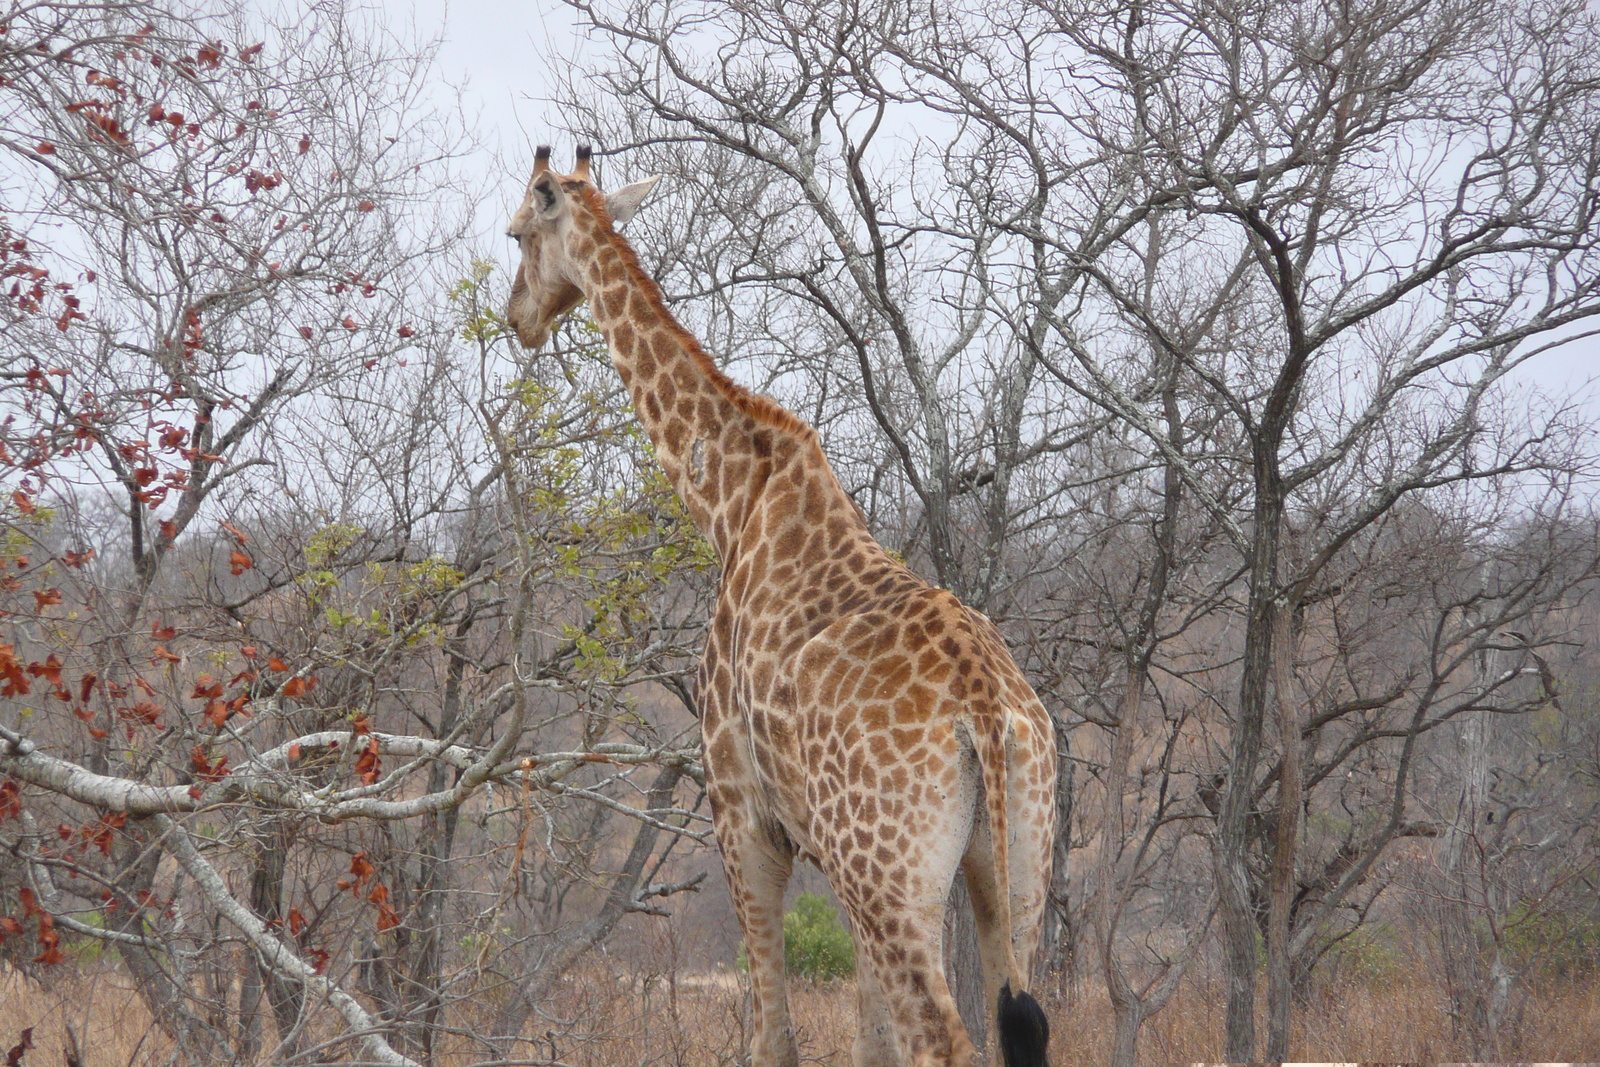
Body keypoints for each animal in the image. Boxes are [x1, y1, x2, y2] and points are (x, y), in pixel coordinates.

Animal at [512, 143, 1056, 1067]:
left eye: (517, 232)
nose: (518, 318)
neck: (727, 499)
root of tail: (987, 707)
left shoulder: (742, 811)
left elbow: (775, 1037)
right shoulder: (832, 859)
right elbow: (867, 1043)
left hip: (894, 874)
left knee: (943, 1040)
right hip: (1010, 861)